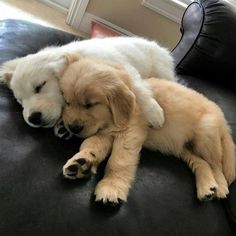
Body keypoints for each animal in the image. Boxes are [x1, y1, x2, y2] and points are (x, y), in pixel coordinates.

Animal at [58, 55, 234, 205]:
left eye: (90, 105)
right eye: (67, 102)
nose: (72, 128)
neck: (110, 120)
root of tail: (222, 117)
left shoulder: (130, 132)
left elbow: (119, 160)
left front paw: (111, 187)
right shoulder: (105, 132)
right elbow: (92, 144)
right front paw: (81, 162)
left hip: (206, 134)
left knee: (216, 164)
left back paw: (220, 186)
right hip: (183, 147)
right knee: (201, 162)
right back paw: (207, 188)